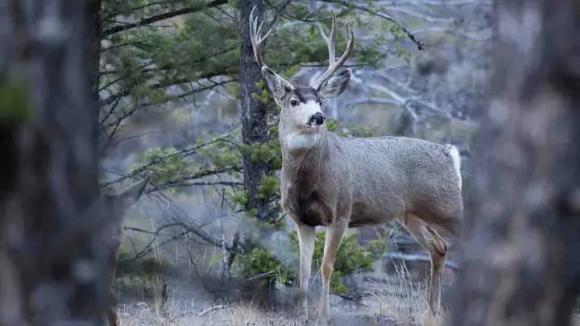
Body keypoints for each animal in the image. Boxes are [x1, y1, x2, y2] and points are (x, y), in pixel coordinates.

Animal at [248, 7, 462, 324]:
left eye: (321, 100)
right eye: (294, 100)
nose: (318, 117)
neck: (307, 182)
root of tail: (450, 153)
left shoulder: (341, 211)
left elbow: (326, 266)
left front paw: (323, 316)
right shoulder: (301, 219)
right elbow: (302, 271)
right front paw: (302, 315)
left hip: (448, 207)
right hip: (409, 214)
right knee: (439, 247)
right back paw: (431, 311)